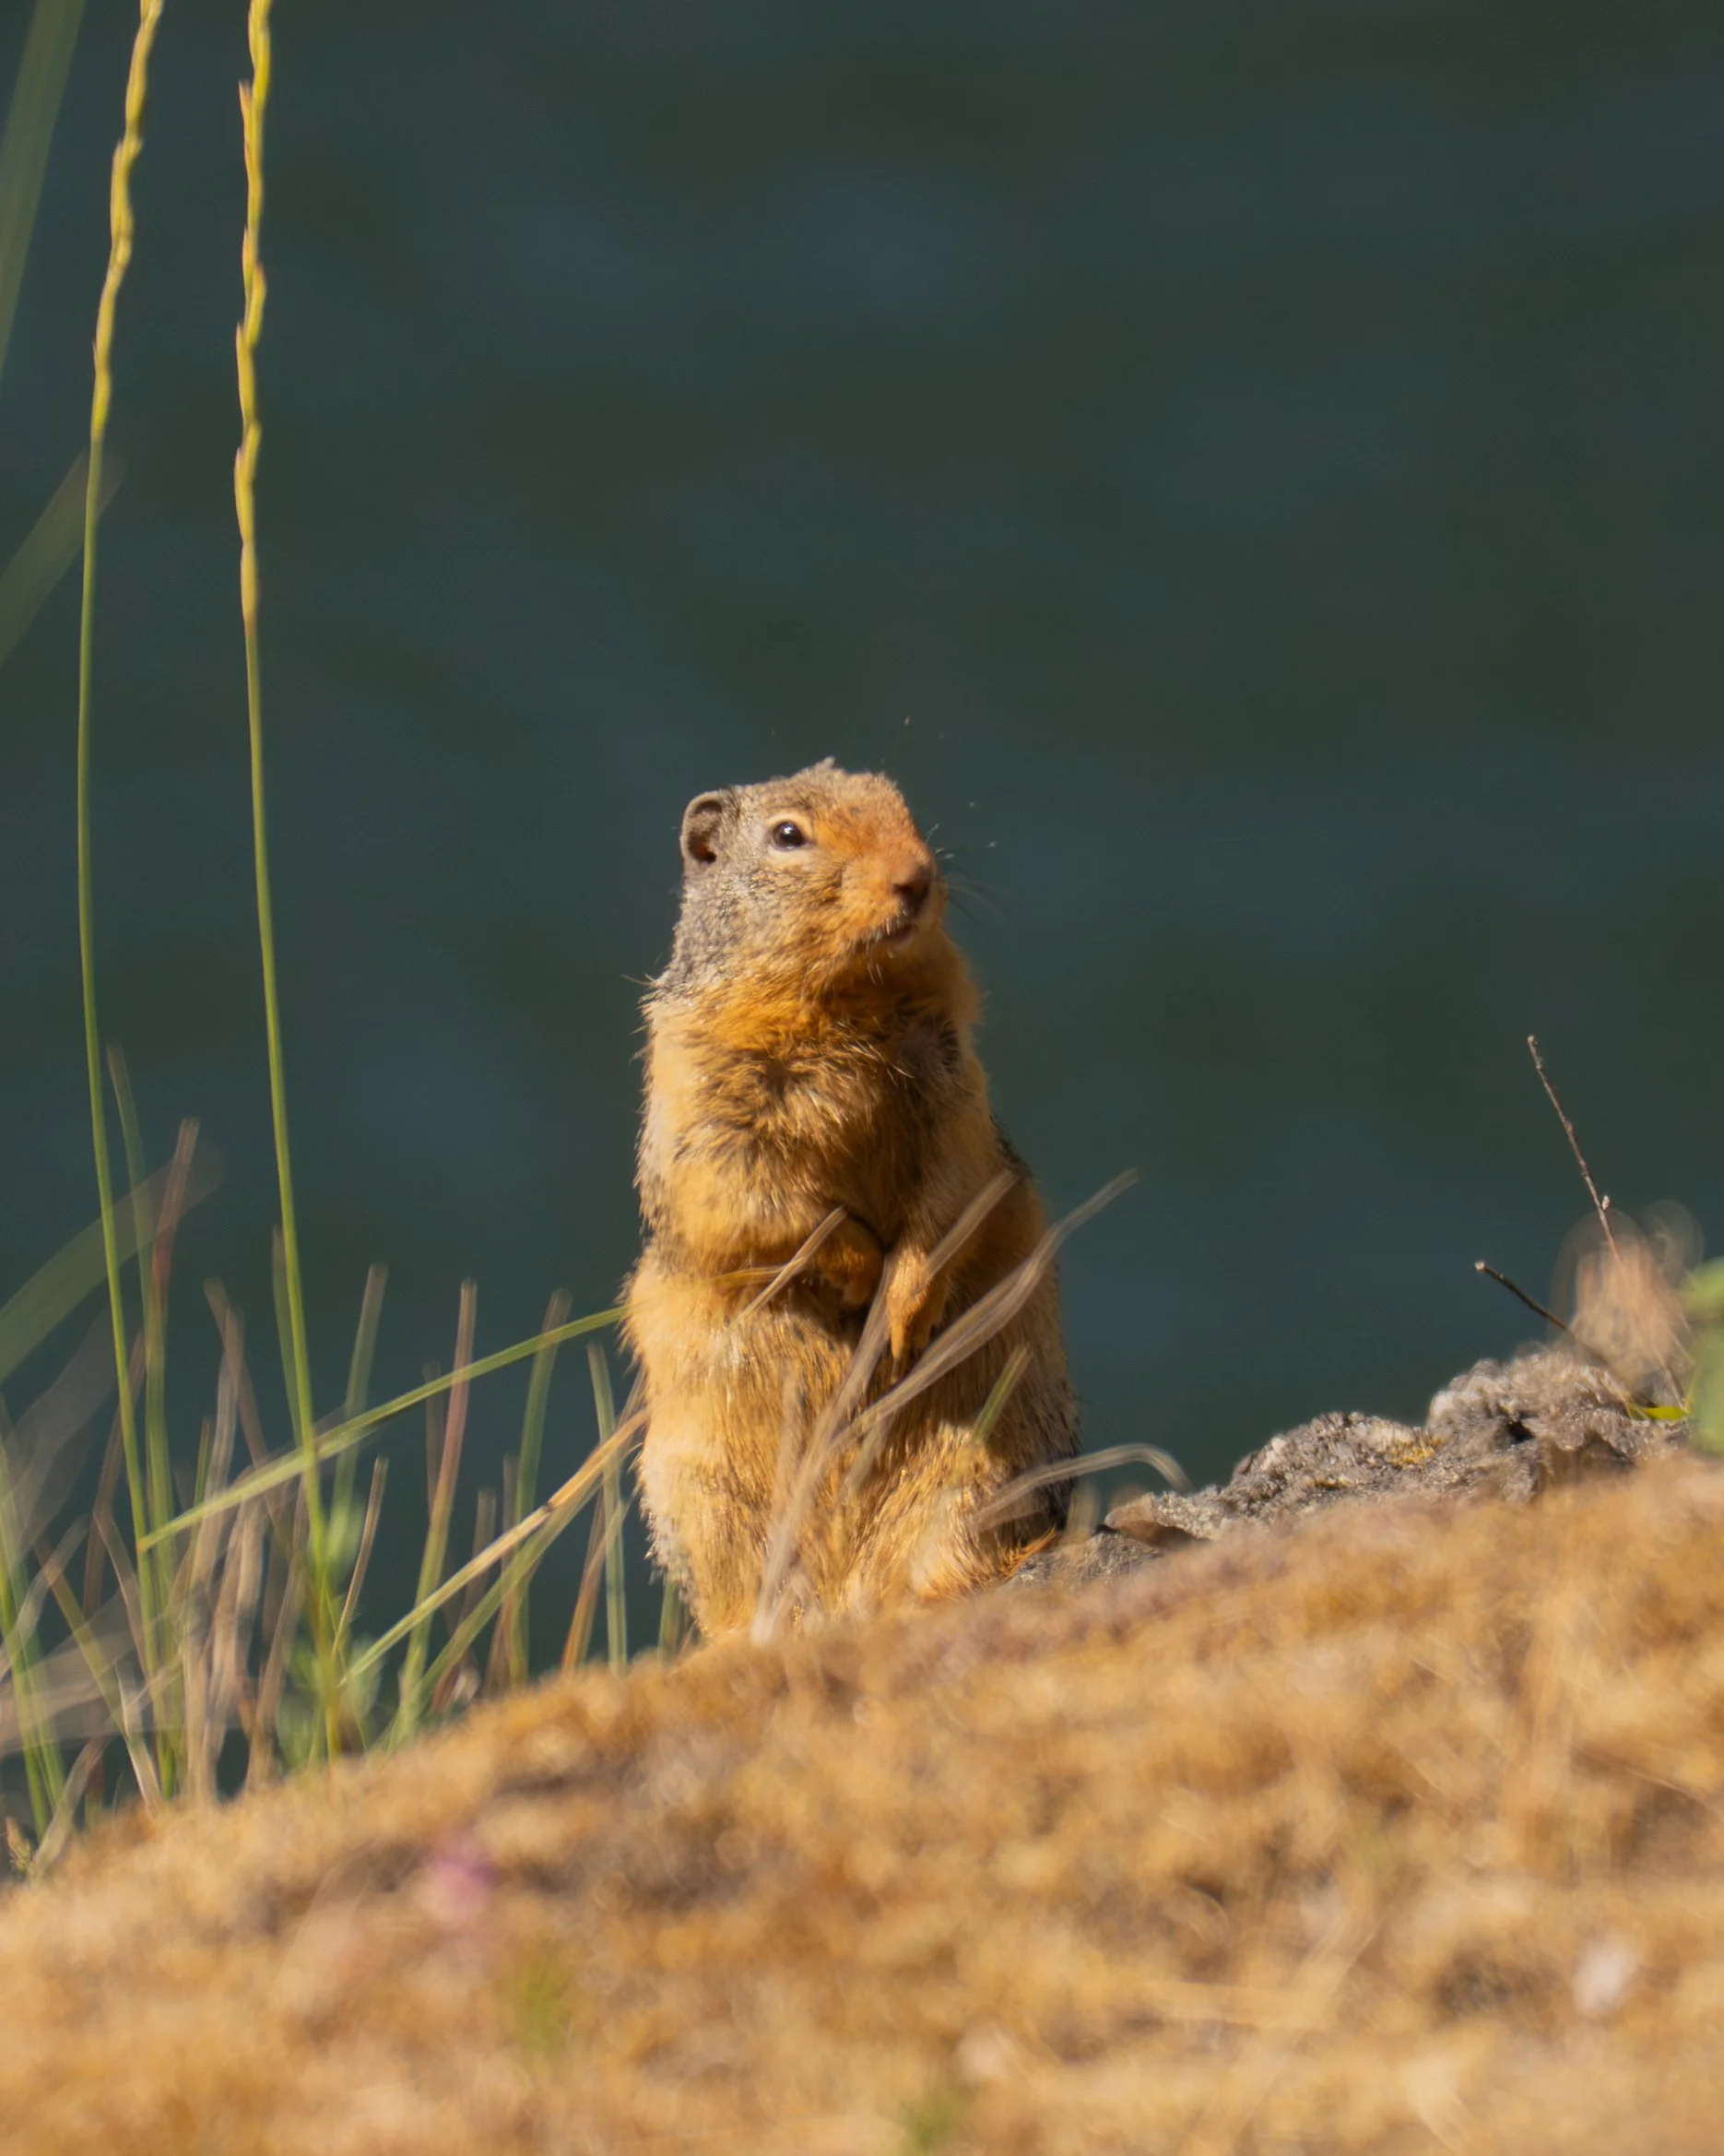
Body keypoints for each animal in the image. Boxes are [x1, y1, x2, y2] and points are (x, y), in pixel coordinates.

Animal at [623, 760, 1077, 1636]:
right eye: (787, 835)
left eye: (901, 805)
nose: (917, 876)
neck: (843, 1000)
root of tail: (845, 1600)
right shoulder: (699, 1096)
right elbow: (754, 1197)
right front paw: (859, 1272)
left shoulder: (956, 1085)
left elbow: (952, 1191)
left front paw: (900, 1311)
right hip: (700, 1497)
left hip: (983, 1468)